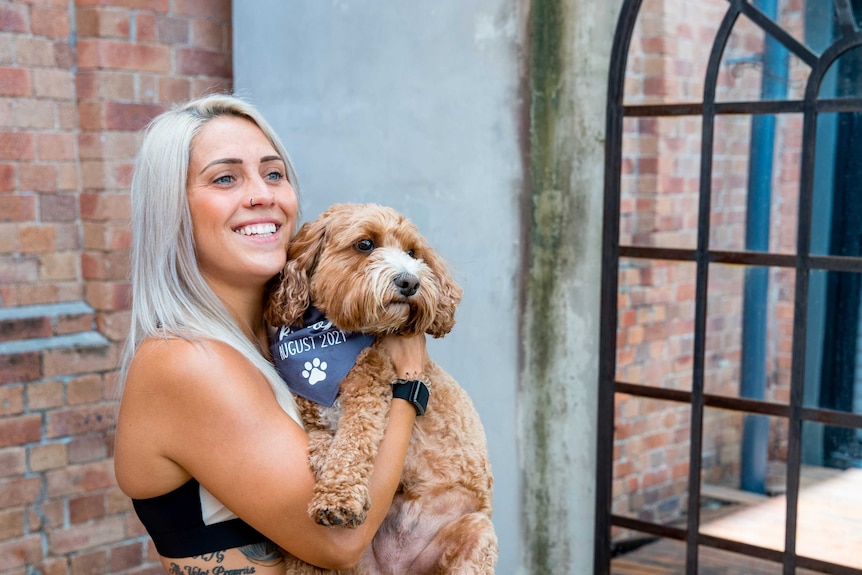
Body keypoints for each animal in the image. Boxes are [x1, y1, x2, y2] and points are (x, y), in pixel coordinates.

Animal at [266, 201, 502, 572]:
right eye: (365, 244)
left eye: (412, 252)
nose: (409, 280)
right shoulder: (308, 410)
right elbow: (321, 440)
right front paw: (332, 476)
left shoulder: (368, 397)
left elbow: (352, 443)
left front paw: (338, 497)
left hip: (476, 534)